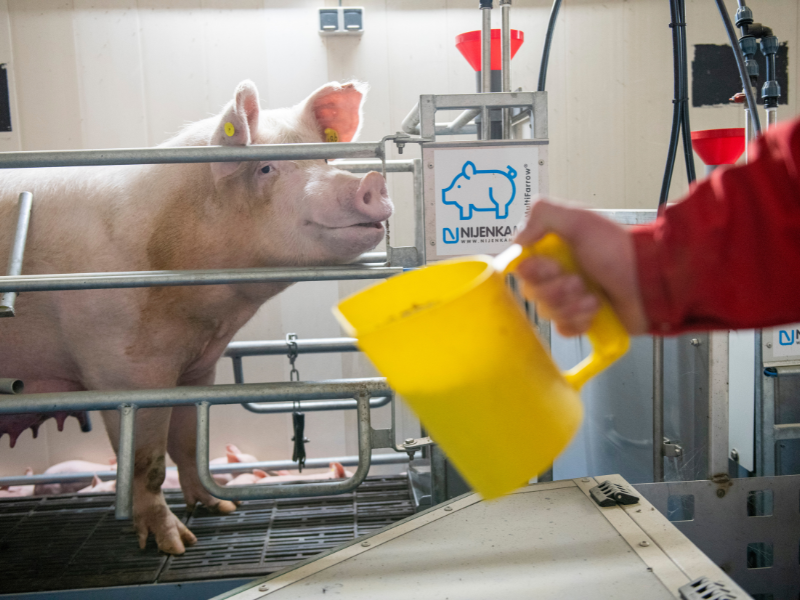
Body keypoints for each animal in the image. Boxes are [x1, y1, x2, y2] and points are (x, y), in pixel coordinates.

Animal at [0, 80, 392, 554]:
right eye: (266, 168)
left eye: (326, 159)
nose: (370, 180)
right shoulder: (120, 371)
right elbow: (146, 461)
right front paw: (176, 545)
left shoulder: (196, 369)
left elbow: (188, 443)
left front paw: (220, 509)